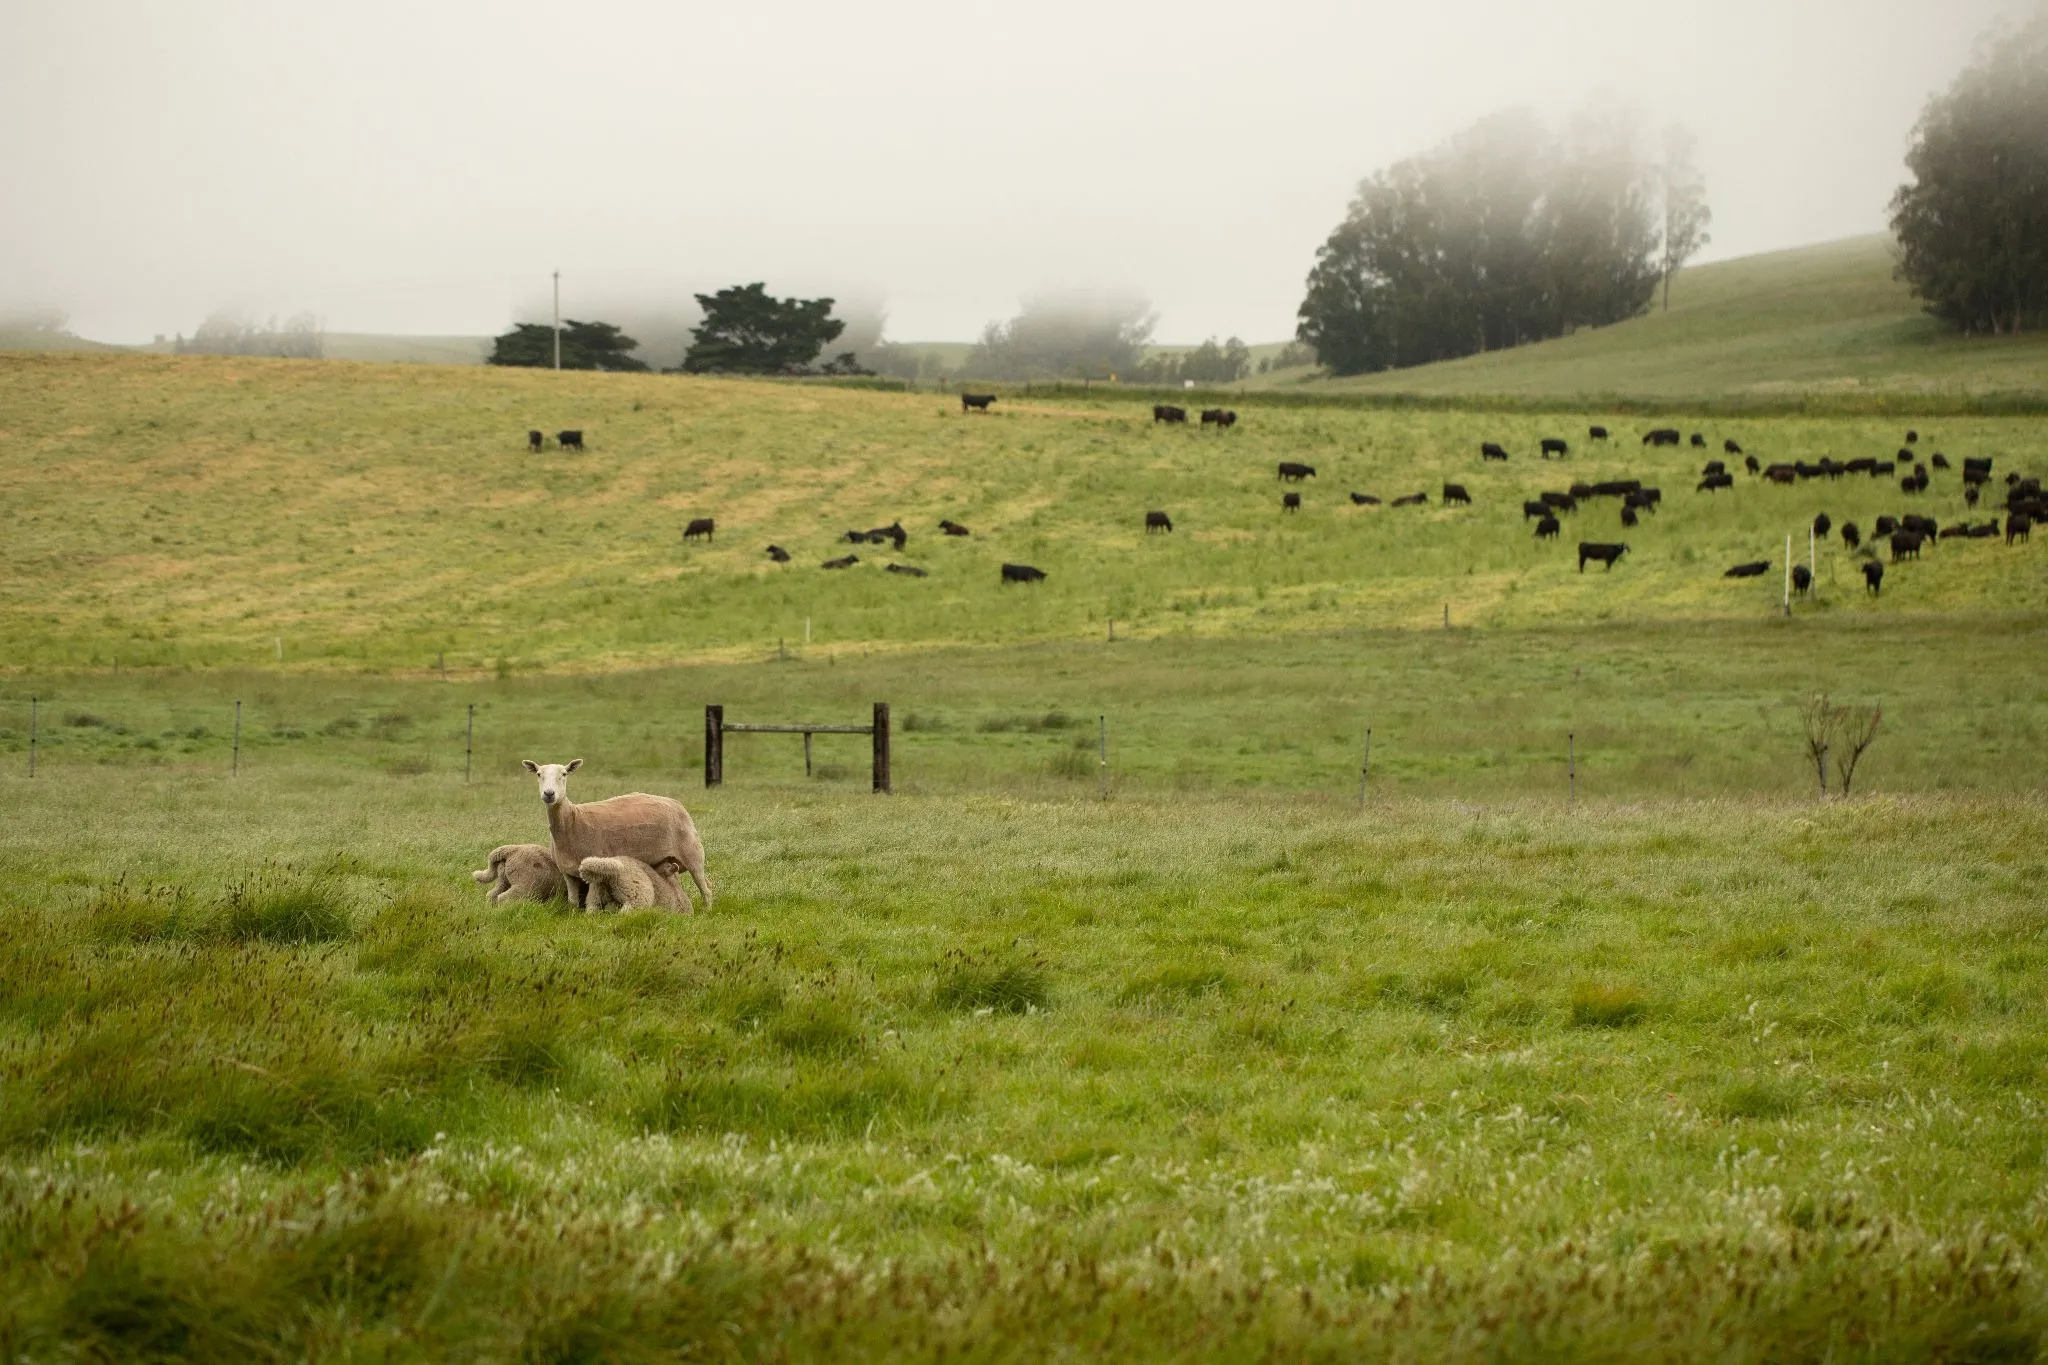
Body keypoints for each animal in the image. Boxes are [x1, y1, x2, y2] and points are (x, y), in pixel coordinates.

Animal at [522, 759, 713, 911]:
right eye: (538, 774)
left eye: (564, 774)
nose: (549, 794)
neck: (572, 820)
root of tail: (676, 803)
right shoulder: (567, 872)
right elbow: (572, 902)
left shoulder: (595, 867)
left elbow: (592, 900)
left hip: (692, 852)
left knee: (706, 888)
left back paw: (707, 911)